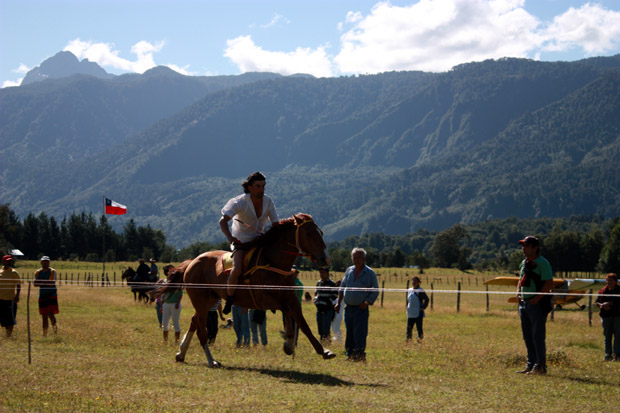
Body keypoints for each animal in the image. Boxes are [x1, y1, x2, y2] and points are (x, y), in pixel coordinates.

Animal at [157, 212, 336, 366]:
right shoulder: (265, 301)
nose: (326, 259)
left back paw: (181, 353)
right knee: (201, 331)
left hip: (210, 299)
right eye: (309, 234)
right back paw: (211, 360)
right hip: (201, 300)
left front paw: (320, 350)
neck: (273, 263)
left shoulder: (291, 298)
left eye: (320, 232)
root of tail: (193, 261)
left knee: (195, 322)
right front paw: (289, 342)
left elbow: (302, 323)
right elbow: (287, 312)